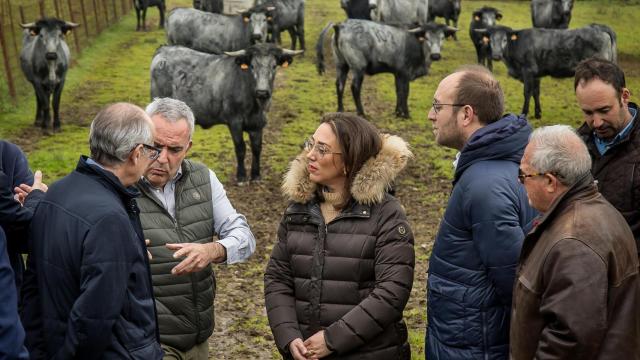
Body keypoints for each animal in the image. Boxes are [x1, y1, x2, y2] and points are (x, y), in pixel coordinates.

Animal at [150, 43, 302, 181]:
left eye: (274, 66)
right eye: (252, 66)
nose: (262, 92)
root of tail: (163, 50)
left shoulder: (258, 124)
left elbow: (257, 148)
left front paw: (256, 175)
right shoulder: (235, 122)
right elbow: (240, 148)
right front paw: (241, 176)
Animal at [316, 20, 456, 118]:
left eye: (442, 37)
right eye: (426, 37)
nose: (435, 55)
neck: (416, 42)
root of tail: (341, 25)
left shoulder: (398, 74)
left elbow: (398, 91)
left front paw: (398, 112)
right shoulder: (405, 73)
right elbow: (405, 92)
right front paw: (406, 114)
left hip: (341, 65)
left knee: (340, 85)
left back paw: (340, 109)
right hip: (358, 68)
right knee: (355, 87)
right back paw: (361, 112)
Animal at [480, 24, 616, 119]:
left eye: (505, 40)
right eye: (490, 40)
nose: (496, 55)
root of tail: (599, 27)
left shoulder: (528, 70)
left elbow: (527, 92)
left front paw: (524, 113)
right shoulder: (536, 75)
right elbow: (536, 92)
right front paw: (538, 114)